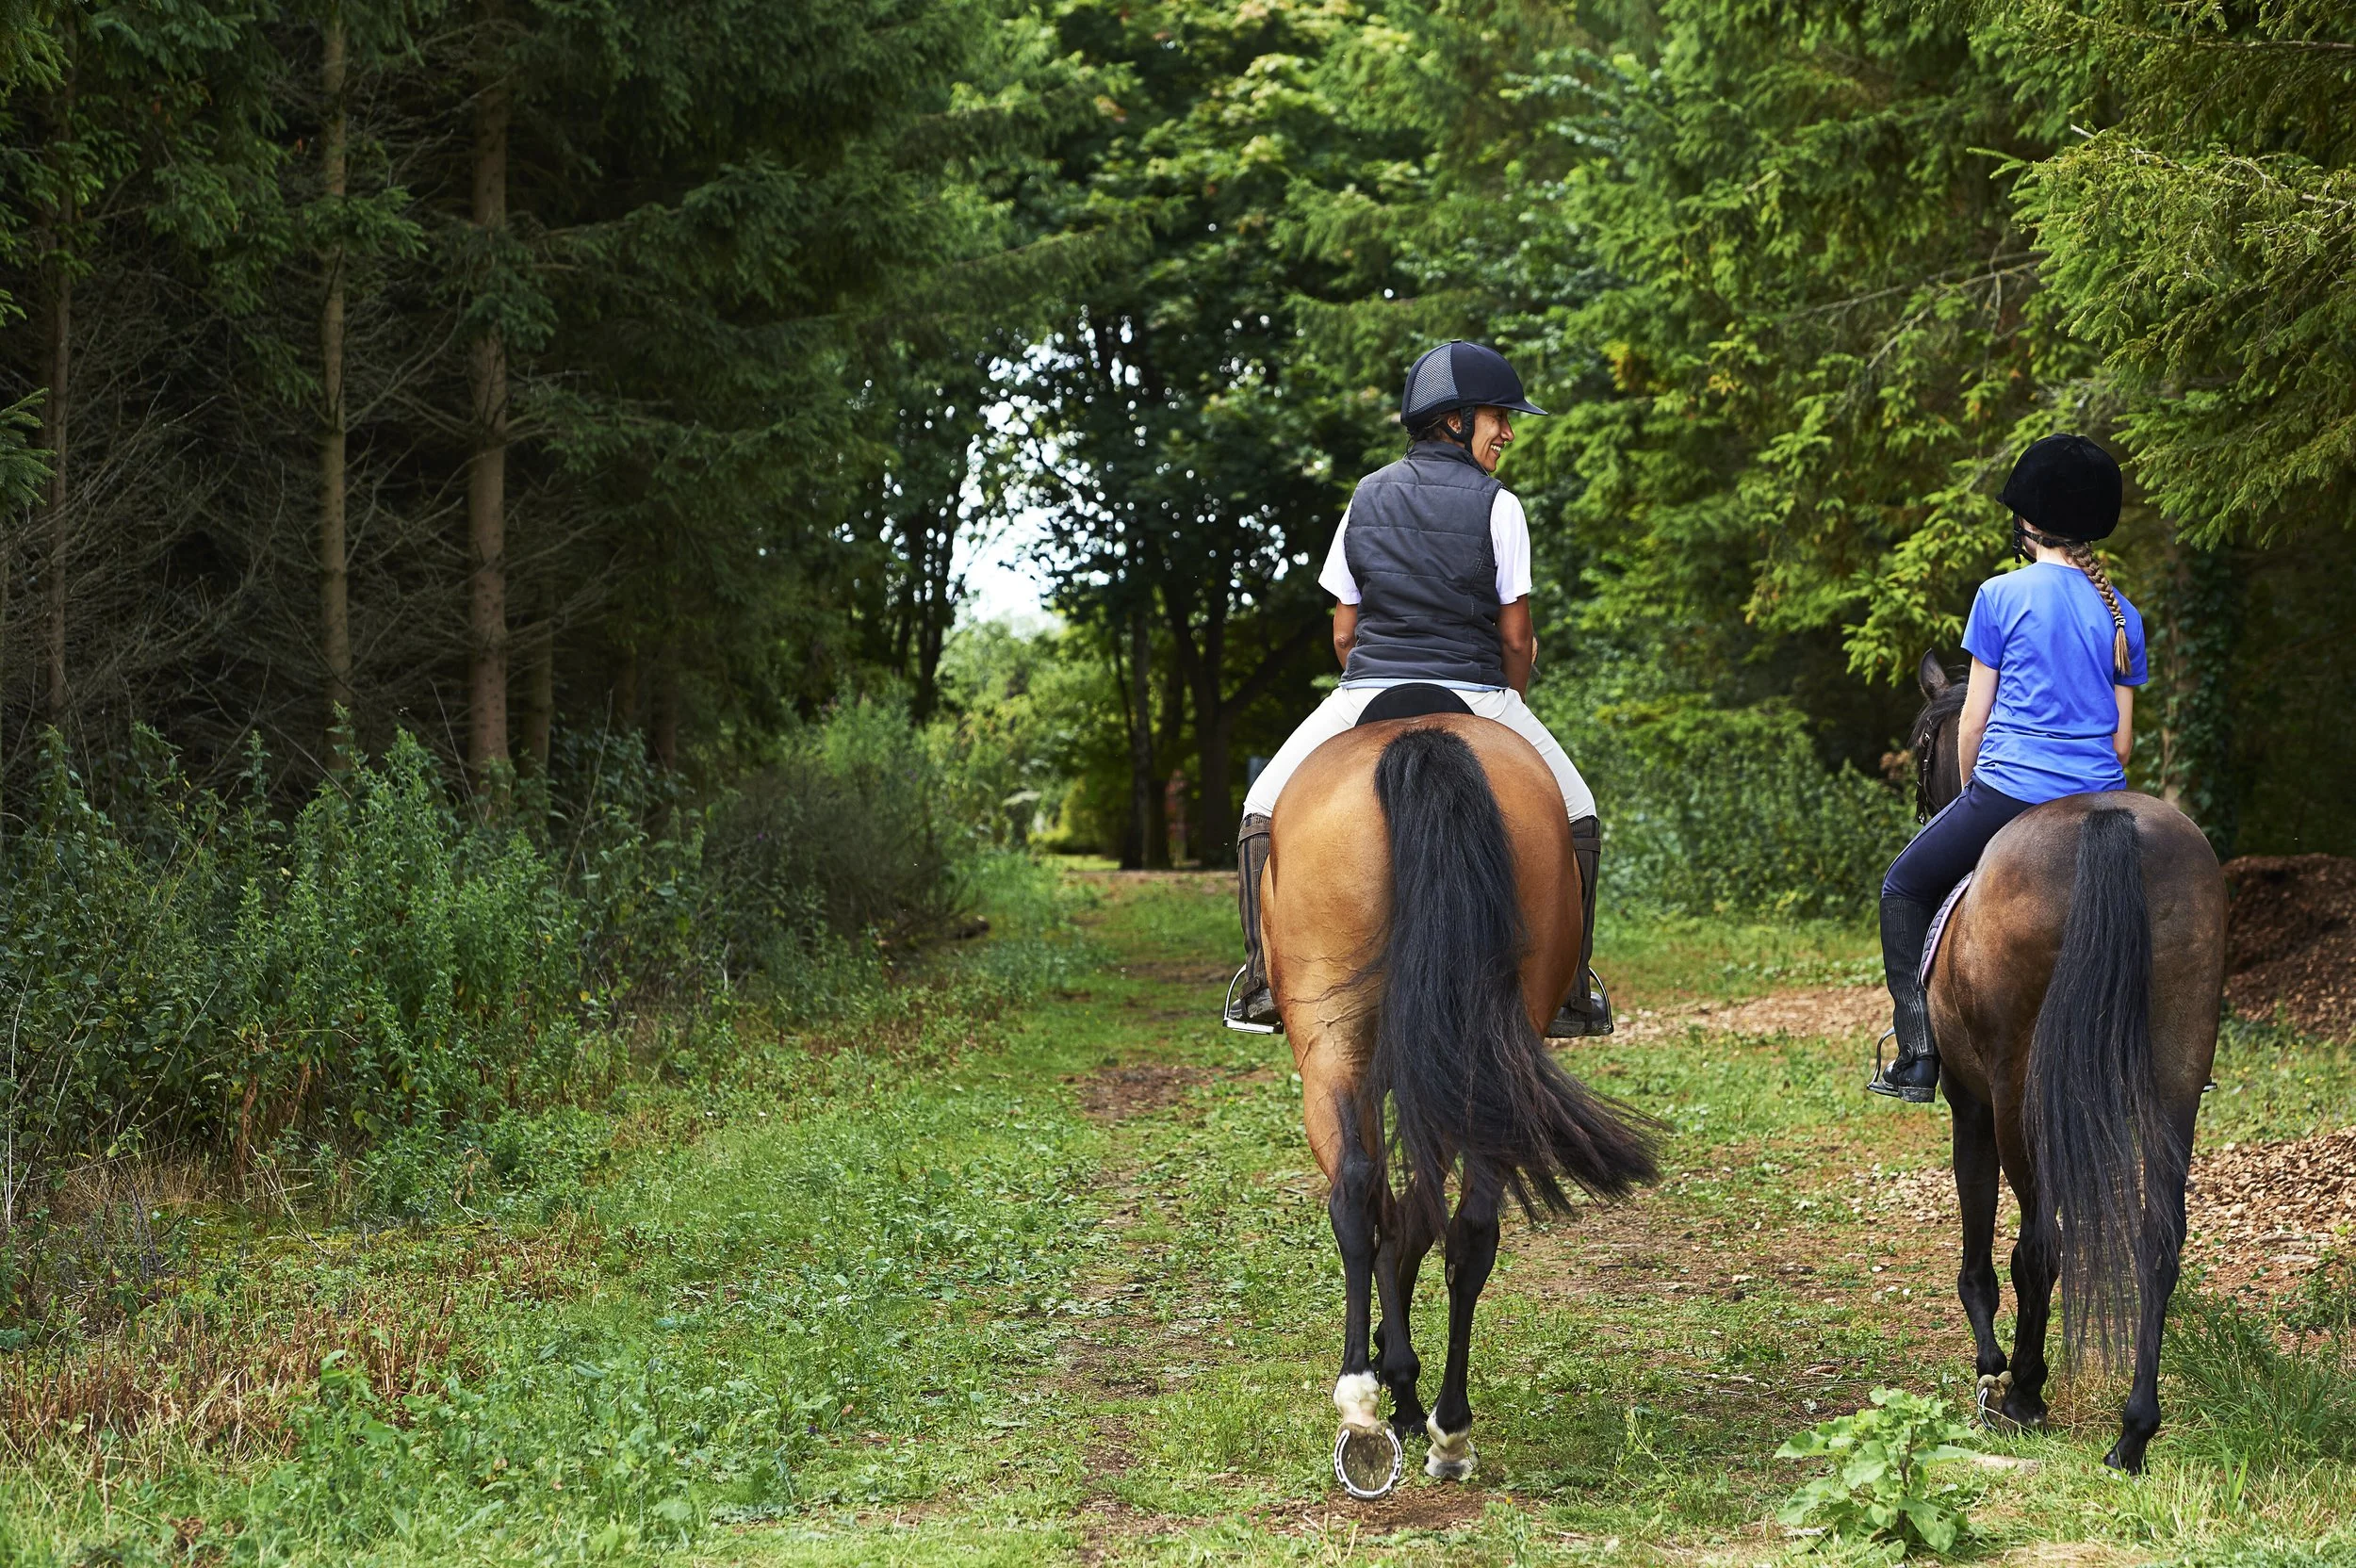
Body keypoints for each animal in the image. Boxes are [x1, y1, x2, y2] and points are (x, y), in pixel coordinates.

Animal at [1258, 697, 1658, 1497]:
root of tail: (1420, 740)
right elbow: (1416, 1221)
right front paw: (1405, 1381)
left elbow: (1394, 1218)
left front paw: (1393, 1380)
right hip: (1478, 1055)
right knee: (1469, 1230)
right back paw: (1449, 1429)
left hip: (1331, 1046)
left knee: (1355, 1197)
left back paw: (1363, 1405)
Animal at [1909, 651, 2226, 1473]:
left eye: (1922, 744)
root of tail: (2108, 823)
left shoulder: (1969, 1102)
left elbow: (1980, 1245)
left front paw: (1992, 1368)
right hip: (2176, 1075)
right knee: (2157, 1240)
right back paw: (2133, 1431)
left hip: (2020, 1092)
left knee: (2041, 1243)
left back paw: (2024, 1391)